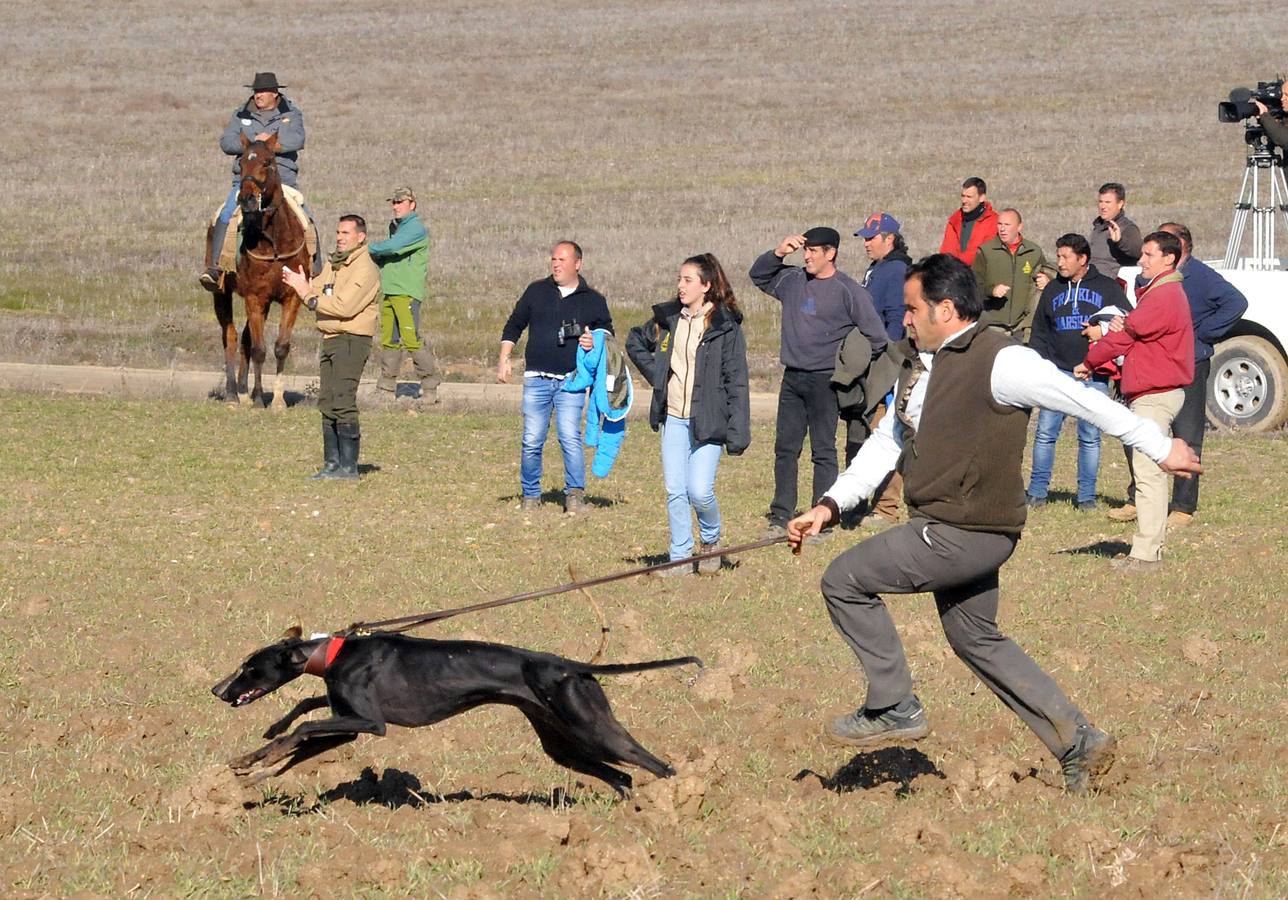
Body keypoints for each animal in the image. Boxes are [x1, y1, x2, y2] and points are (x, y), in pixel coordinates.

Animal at [213, 134, 311, 412]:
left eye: (268, 162)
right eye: (242, 162)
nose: (245, 198)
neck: (275, 241)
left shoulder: (291, 298)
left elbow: (280, 347)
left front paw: (277, 400)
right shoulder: (255, 297)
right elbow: (259, 349)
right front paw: (259, 399)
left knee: (244, 338)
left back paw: (243, 392)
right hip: (221, 294)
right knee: (231, 337)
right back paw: (233, 394)